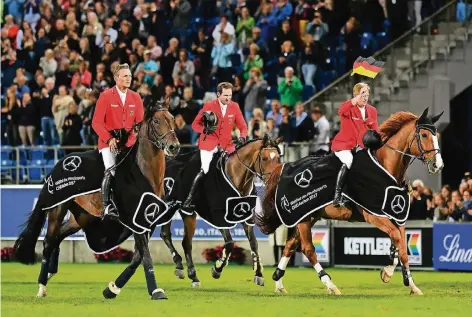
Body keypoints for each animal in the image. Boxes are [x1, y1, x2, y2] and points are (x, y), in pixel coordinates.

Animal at [13, 98, 181, 298]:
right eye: (156, 121)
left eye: (172, 119)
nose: (174, 147)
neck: (145, 172)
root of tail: (62, 160)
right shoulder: (136, 221)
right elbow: (145, 256)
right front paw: (156, 291)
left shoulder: (148, 221)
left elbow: (138, 257)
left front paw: (112, 289)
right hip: (57, 209)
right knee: (48, 241)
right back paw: (41, 286)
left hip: (83, 217)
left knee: (59, 235)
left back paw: (51, 272)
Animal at [157, 133, 284, 286]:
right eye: (264, 158)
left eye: (277, 158)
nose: (274, 181)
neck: (236, 177)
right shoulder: (219, 216)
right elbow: (229, 244)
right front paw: (217, 269)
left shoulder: (246, 216)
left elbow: (254, 243)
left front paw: (258, 274)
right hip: (177, 209)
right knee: (176, 239)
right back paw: (189, 272)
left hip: (185, 213)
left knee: (178, 239)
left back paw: (184, 270)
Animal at [254, 107, 442, 296]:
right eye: (424, 135)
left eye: (437, 135)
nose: (438, 165)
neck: (385, 166)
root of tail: (285, 166)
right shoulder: (375, 216)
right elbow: (397, 240)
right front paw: (400, 278)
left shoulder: (397, 215)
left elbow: (401, 245)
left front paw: (400, 278)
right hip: (303, 218)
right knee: (308, 249)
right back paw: (330, 284)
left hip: (309, 215)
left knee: (290, 245)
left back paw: (279, 282)